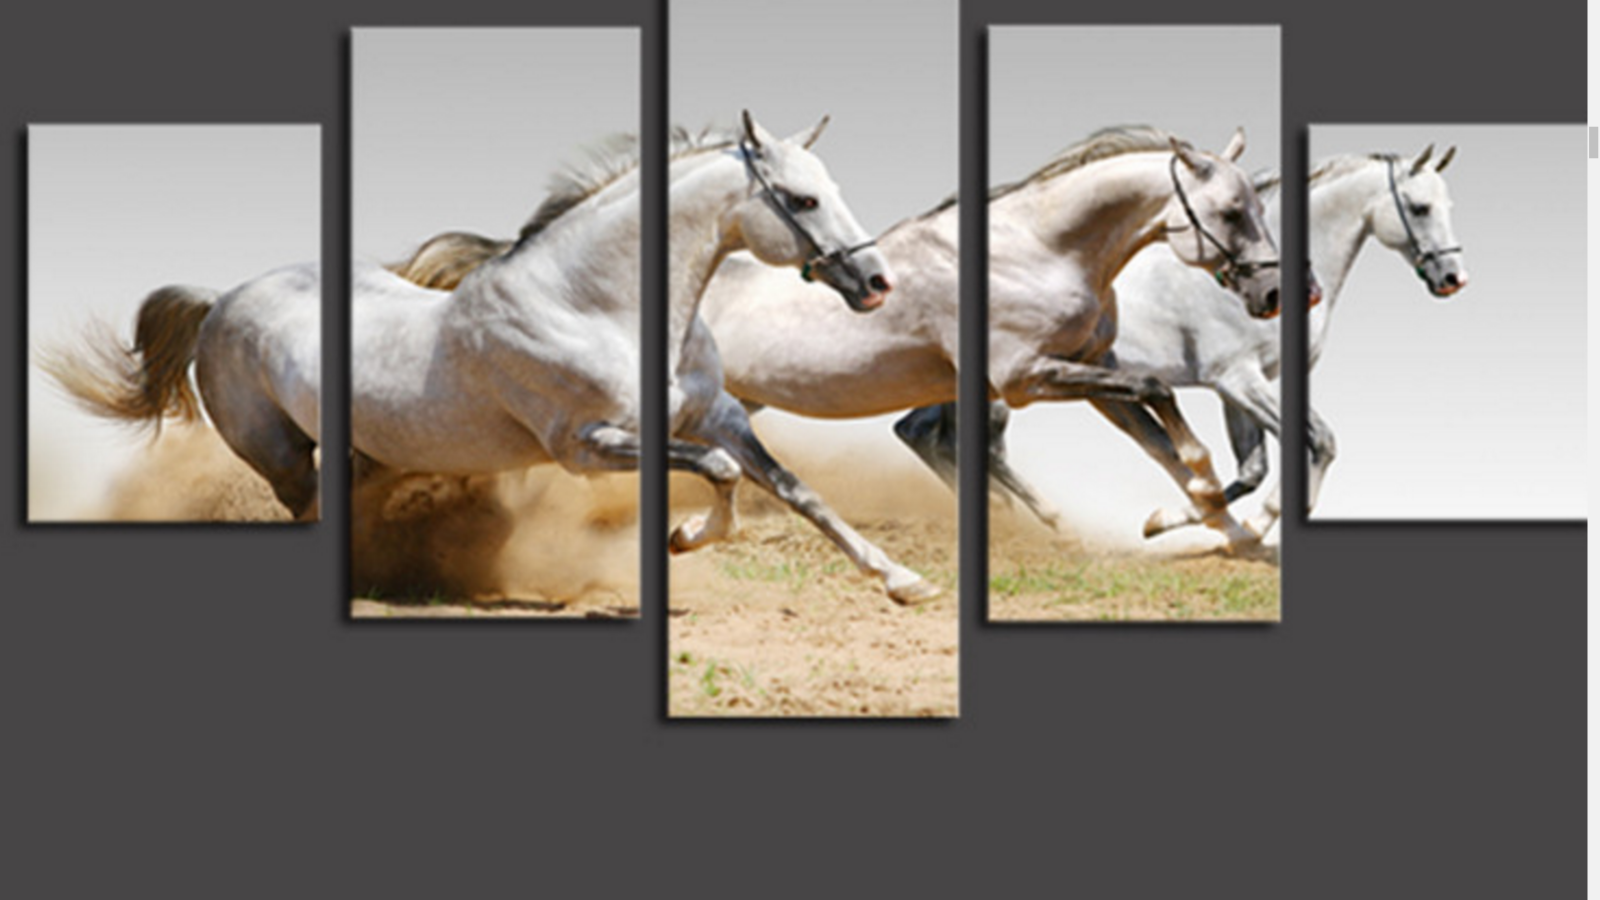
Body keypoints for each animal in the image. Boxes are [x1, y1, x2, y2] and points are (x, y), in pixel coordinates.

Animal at [896, 144, 1465, 539]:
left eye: (1447, 204)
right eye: (1419, 207)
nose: (1453, 279)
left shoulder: (1237, 388)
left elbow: (1252, 468)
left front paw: (1178, 520)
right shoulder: (1239, 380)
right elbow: (1315, 442)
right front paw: (1252, 525)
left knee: (924, 434)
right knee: (964, 443)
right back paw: (1040, 520)